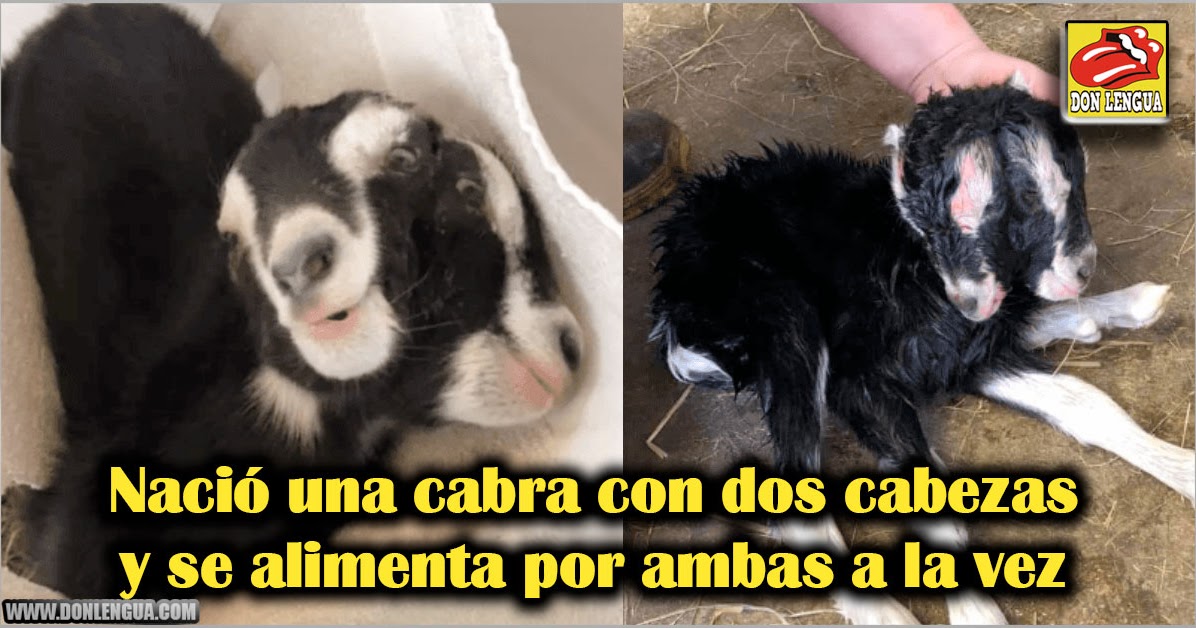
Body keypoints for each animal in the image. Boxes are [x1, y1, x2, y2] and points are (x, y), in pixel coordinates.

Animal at [649, 82, 1194, 624]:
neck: (910, 258)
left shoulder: (961, 355)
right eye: (1014, 200)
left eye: (1076, 181)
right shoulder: (861, 378)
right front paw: (978, 616)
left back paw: (1114, 309)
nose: (1081, 268)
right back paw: (889, 616)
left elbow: (1086, 404)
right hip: (783, 317)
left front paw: (1184, 470)